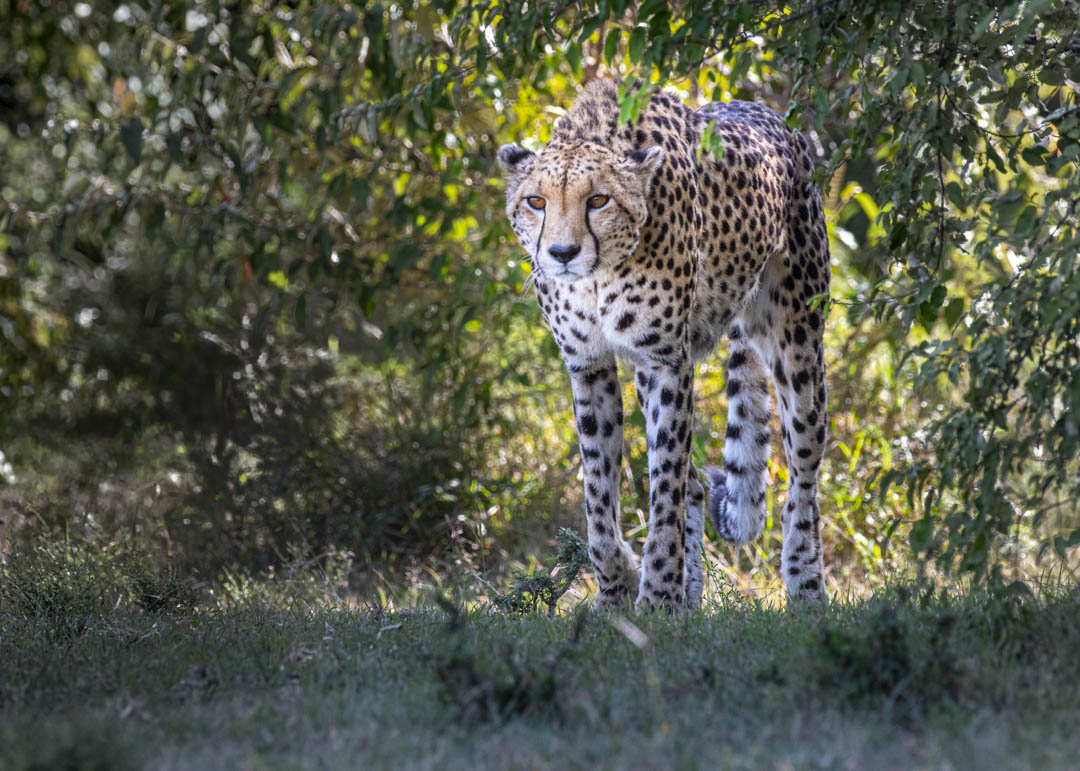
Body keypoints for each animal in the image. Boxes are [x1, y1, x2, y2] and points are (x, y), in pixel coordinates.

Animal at [498, 80, 830, 612]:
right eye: (536, 202)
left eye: (598, 200)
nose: (562, 253)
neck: (598, 274)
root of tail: (770, 113)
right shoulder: (589, 364)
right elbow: (599, 493)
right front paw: (617, 591)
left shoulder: (667, 362)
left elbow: (666, 486)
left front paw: (656, 596)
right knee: (696, 484)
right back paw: (691, 596)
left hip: (797, 342)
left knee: (803, 474)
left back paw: (805, 585)